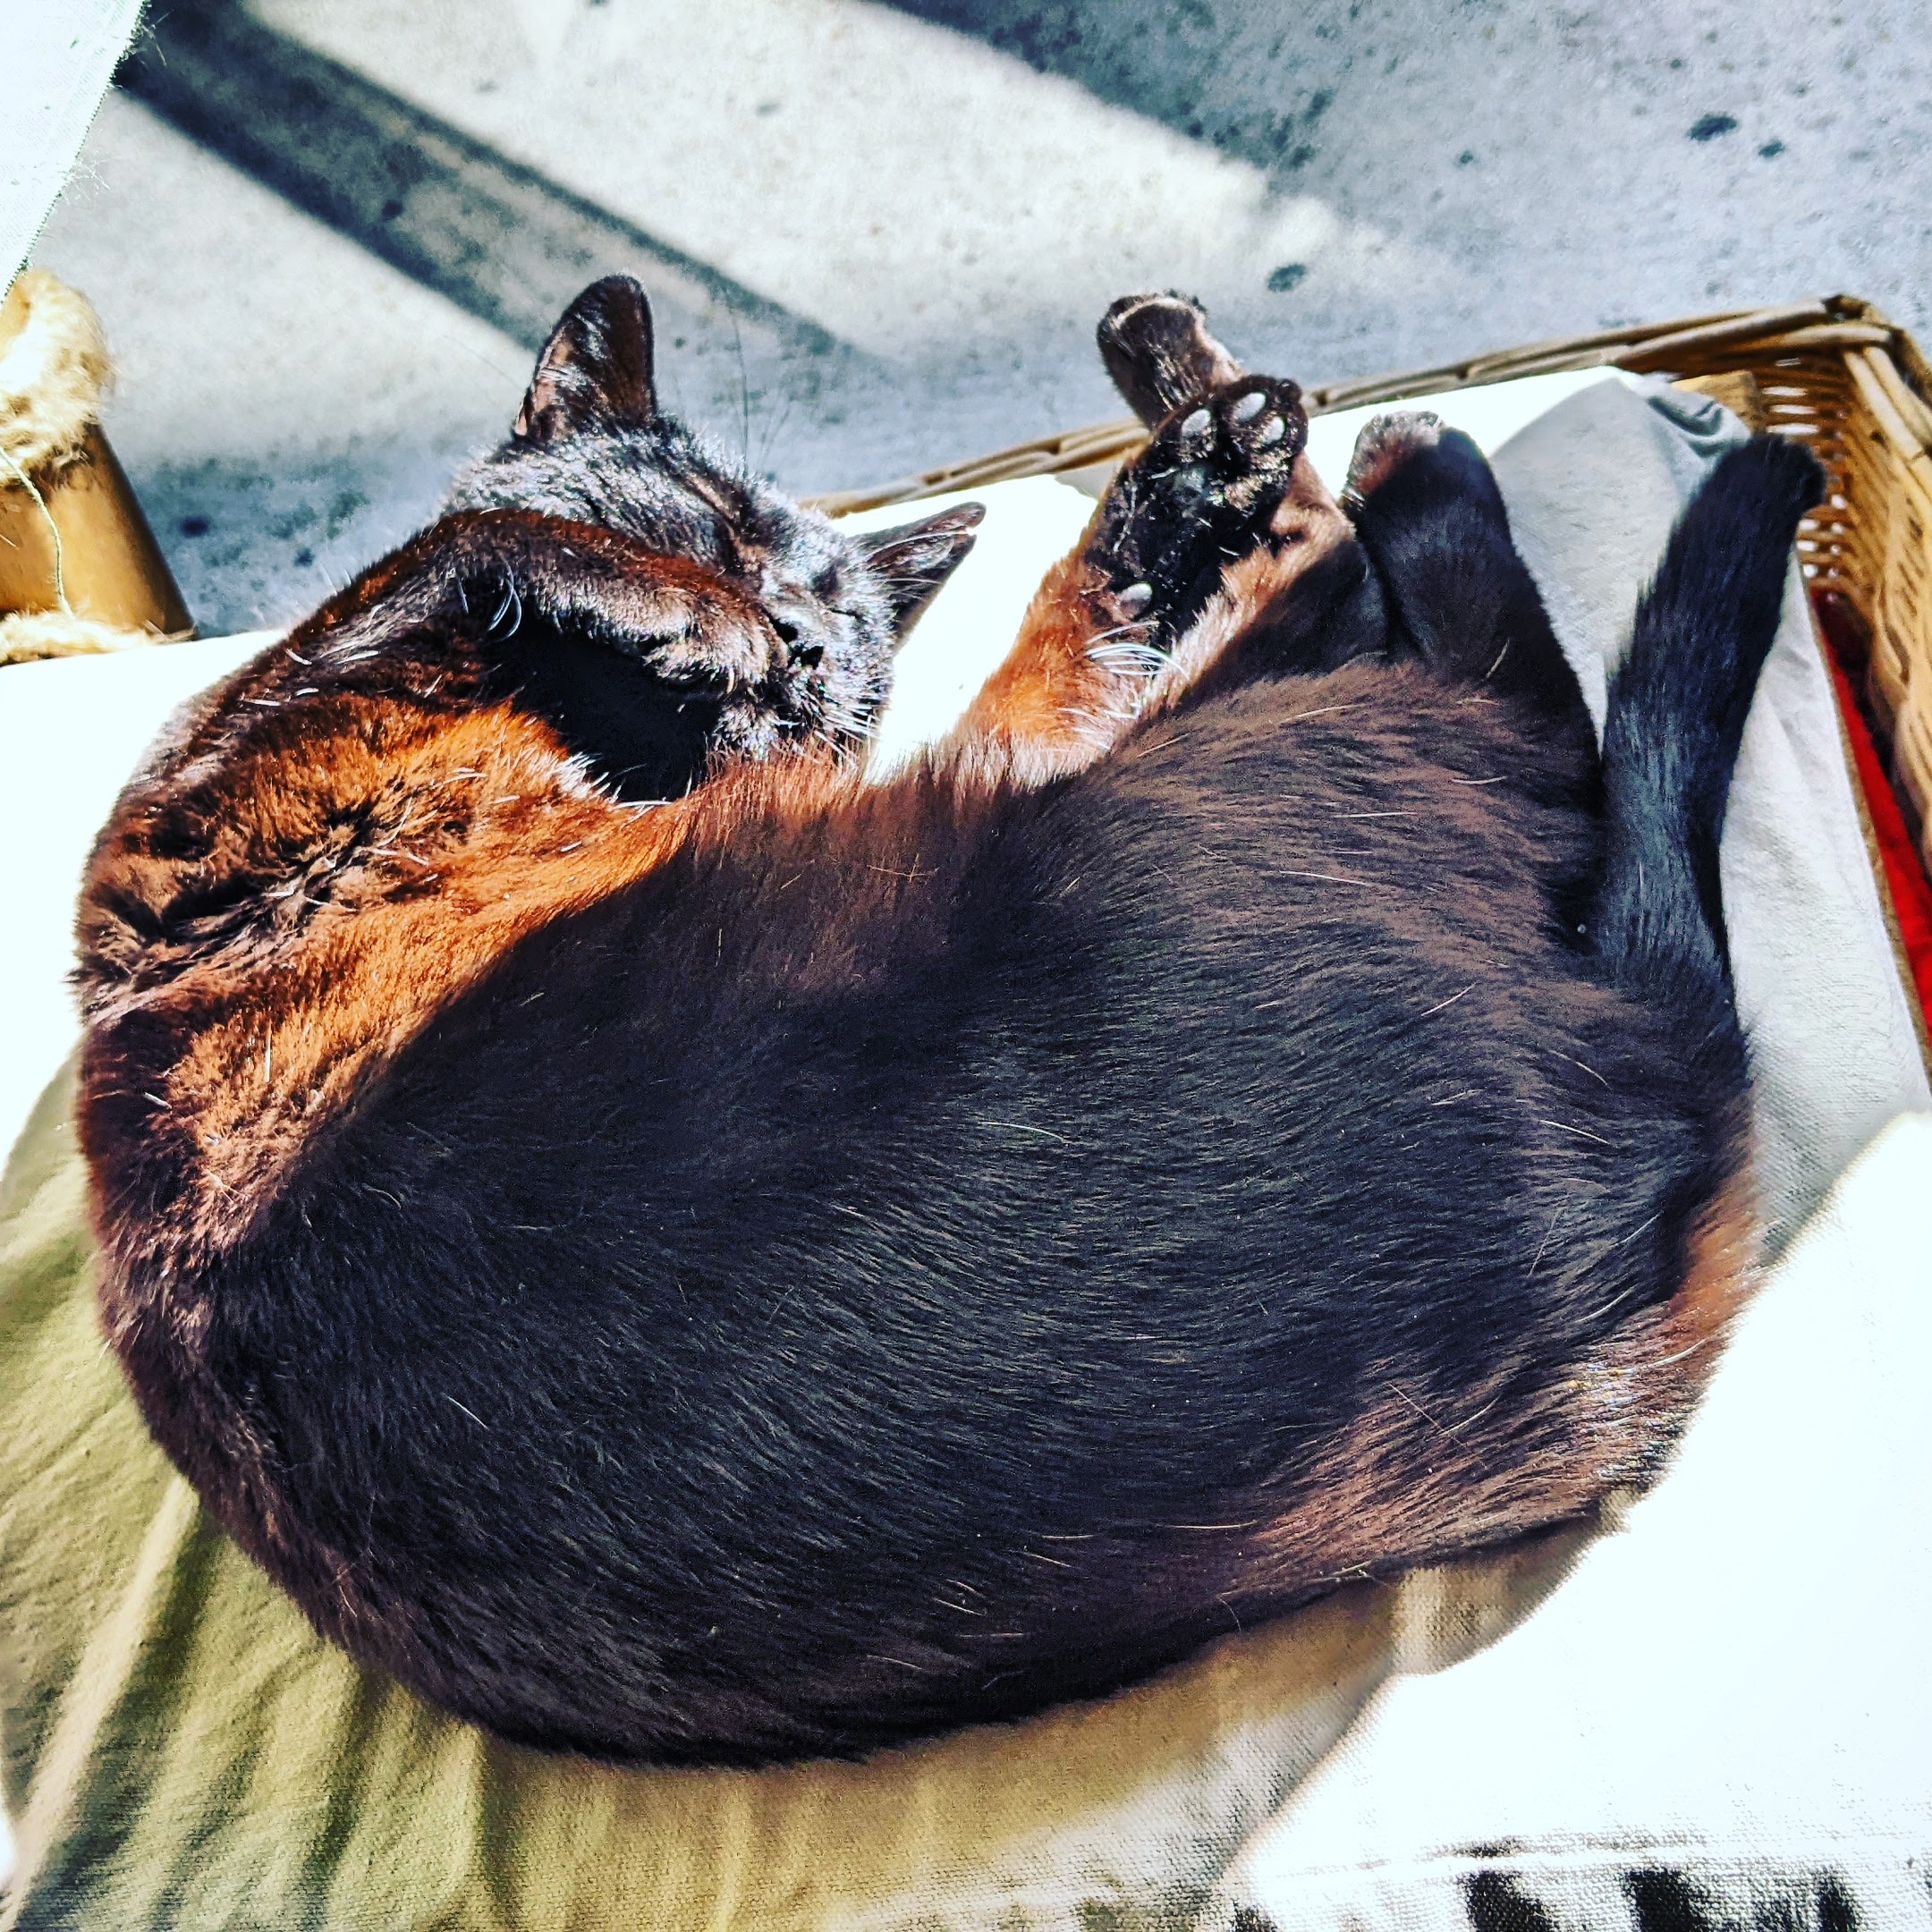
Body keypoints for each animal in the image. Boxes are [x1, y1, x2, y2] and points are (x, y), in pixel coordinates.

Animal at [73, 276, 1823, 1766]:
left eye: (846, 647)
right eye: (717, 531)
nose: (790, 641)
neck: (609, 749)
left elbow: (1070, 629)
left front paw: (1194, 472)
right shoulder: (226, 786)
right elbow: (475, 545)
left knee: (1377, 636)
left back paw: (1224, 412)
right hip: (1220, 766)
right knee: (1486, 687)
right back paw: (1364, 446)